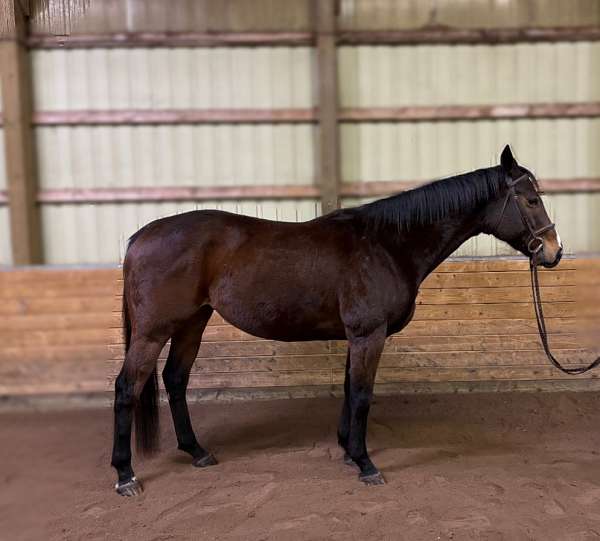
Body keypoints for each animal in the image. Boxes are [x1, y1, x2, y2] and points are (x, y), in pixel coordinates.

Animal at [111, 146, 564, 496]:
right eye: (530, 200)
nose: (553, 251)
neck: (387, 244)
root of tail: (140, 237)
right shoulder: (368, 334)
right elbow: (362, 394)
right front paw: (365, 464)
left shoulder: (357, 336)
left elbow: (349, 390)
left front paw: (348, 449)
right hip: (154, 331)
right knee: (127, 387)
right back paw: (125, 475)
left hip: (194, 321)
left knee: (175, 379)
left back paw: (197, 451)